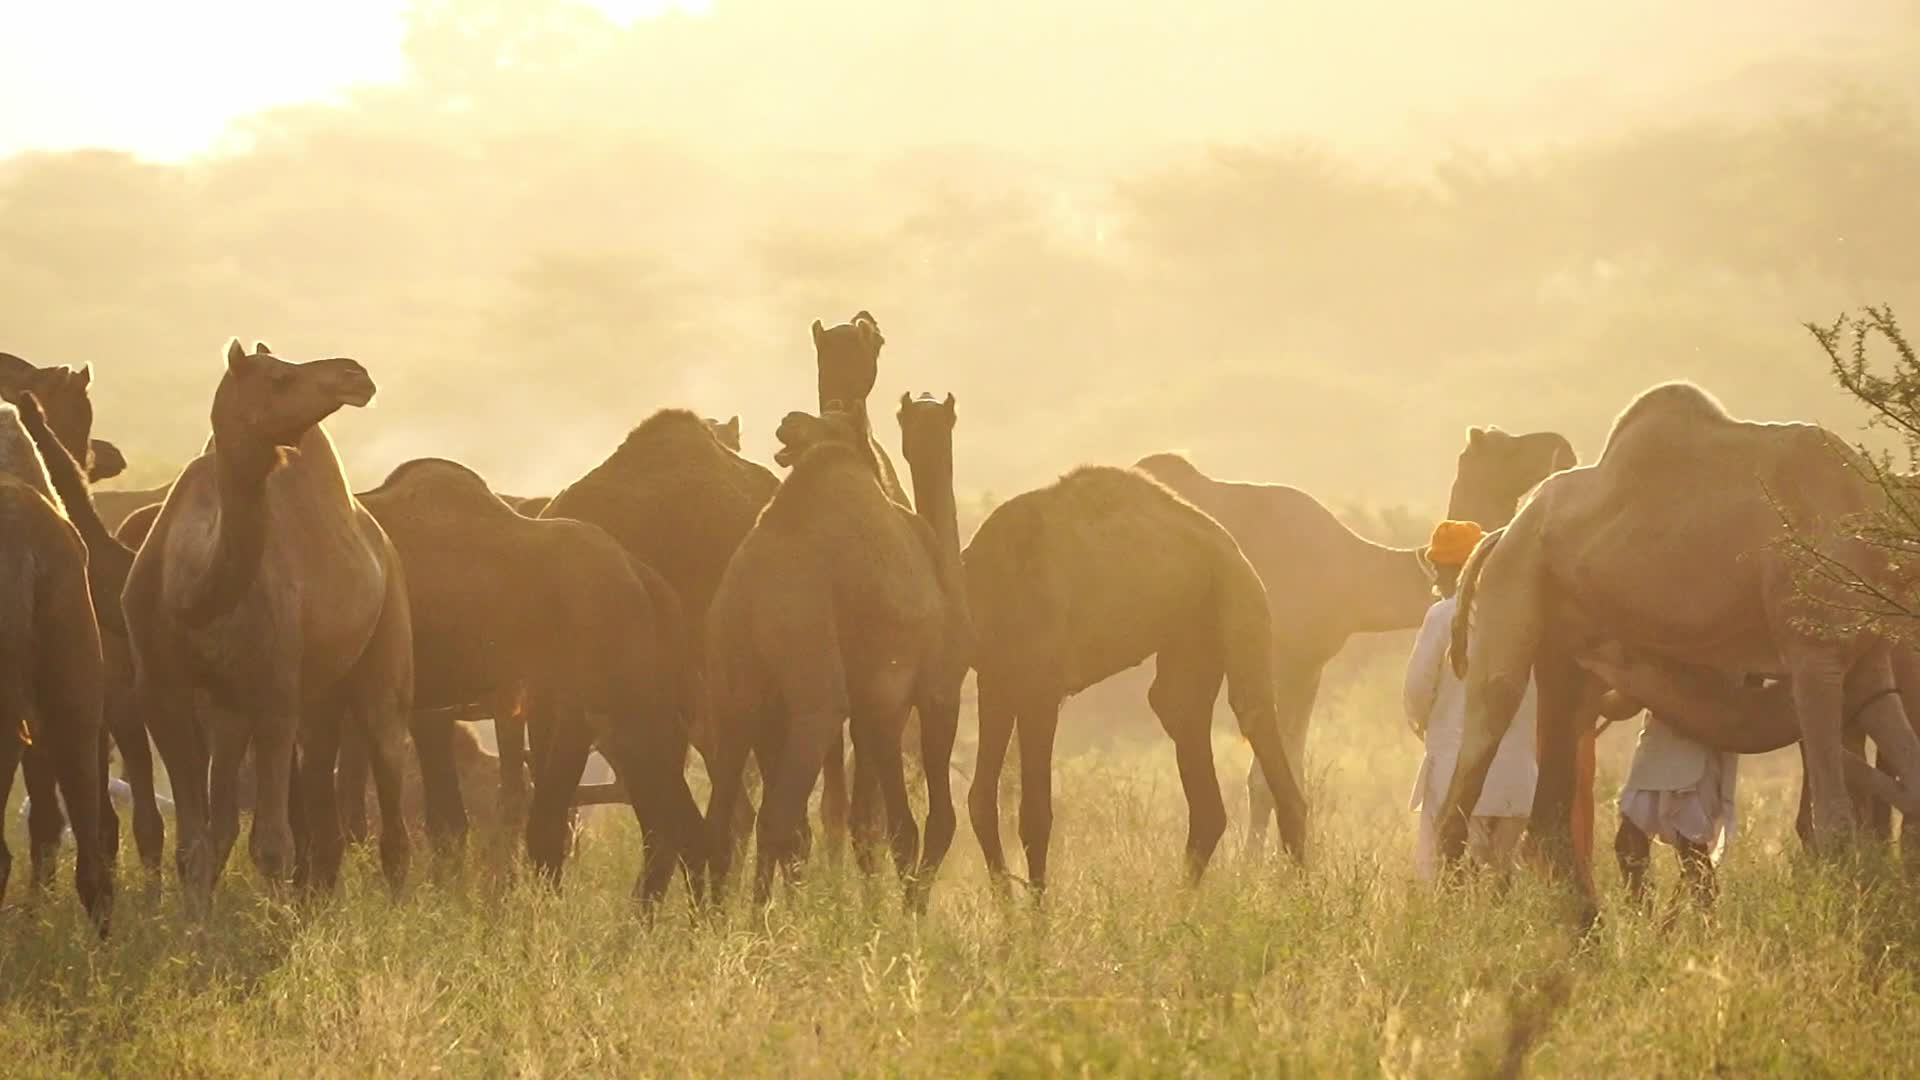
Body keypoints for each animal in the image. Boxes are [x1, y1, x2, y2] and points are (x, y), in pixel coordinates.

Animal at [122, 340, 414, 901]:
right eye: (279, 377)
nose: (355, 374)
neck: (190, 590)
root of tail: (383, 542)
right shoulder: (159, 691)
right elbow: (194, 841)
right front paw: (196, 922)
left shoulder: (275, 689)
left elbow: (272, 843)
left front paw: (277, 922)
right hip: (273, 698)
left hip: (388, 625)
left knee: (386, 743)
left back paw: (396, 901)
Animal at [351, 457, 704, 899]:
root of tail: (651, 584)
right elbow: (447, 822)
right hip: (634, 720)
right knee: (674, 825)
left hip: (622, 714)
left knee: (654, 825)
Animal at [705, 408, 947, 904]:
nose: (788, 423)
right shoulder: (929, 685)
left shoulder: (876, 703)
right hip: (812, 680)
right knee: (779, 818)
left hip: (733, 687)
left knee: (727, 821)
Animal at [964, 464, 1303, 888]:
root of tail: (1236, 552)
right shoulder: (995, 678)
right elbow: (980, 800)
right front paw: (1007, 906)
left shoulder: (1040, 688)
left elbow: (1035, 816)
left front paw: (1039, 909)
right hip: (1192, 635)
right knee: (1184, 725)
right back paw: (1180, 904)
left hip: (1242, 600)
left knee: (1255, 717)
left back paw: (1300, 894)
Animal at [1440, 383, 1920, 915]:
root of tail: (1501, 534)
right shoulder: (1814, 654)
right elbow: (1833, 821)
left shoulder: (1869, 661)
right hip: (1513, 594)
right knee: (1474, 762)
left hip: (1566, 653)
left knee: (1549, 818)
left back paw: (1590, 928)